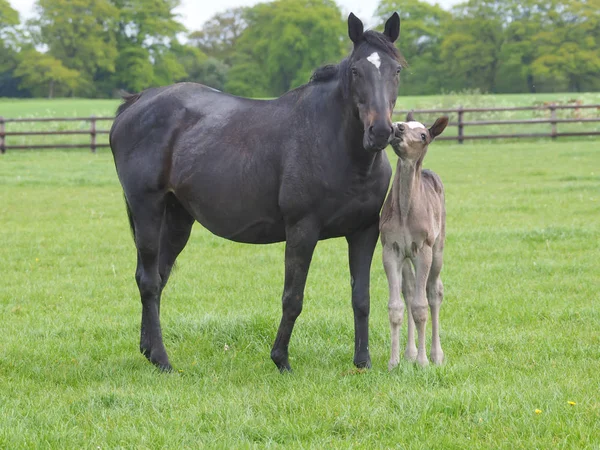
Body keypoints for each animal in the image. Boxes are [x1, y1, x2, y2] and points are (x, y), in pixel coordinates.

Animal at [109, 14, 406, 372]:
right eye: (355, 71)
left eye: (397, 70)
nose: (381, 132)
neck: (337, 146)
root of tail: (135, 102)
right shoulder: (302, 230)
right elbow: (293, 298)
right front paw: (281, 359)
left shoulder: (364, 232)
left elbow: (361, 297)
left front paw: (362, 362)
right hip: (147, 209)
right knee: (149, 282)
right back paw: (163, 360)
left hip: (177, 217)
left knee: (157, 275)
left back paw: (150, 350)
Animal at [382, 113, 448, 370]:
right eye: (403, 122)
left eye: (423, 135)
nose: (398, 128)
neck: (404, 210)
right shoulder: (390, 250)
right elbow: (396, 306)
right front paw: (393, 362)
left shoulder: (423, 250)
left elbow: (422, 307)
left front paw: (423, 362)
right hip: (406, 256)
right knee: (409, 292)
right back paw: (409, 353)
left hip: (438, 249)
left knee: (434, 292)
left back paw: (435, 355)